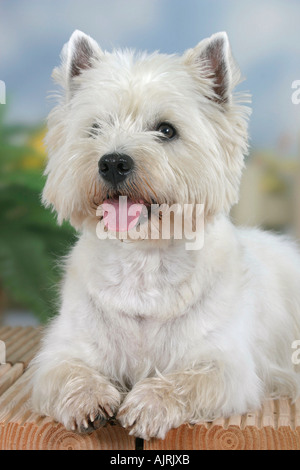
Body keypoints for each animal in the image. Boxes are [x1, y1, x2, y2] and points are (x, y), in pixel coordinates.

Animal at [29, 30, 300, 440]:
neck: (143, 259)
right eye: (95, 128)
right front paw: (90, 400)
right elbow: (69, 372)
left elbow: (186, 379)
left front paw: (149, 404)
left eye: (166, 130)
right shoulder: (64, 350)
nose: (113, 162)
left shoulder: (227, 366)